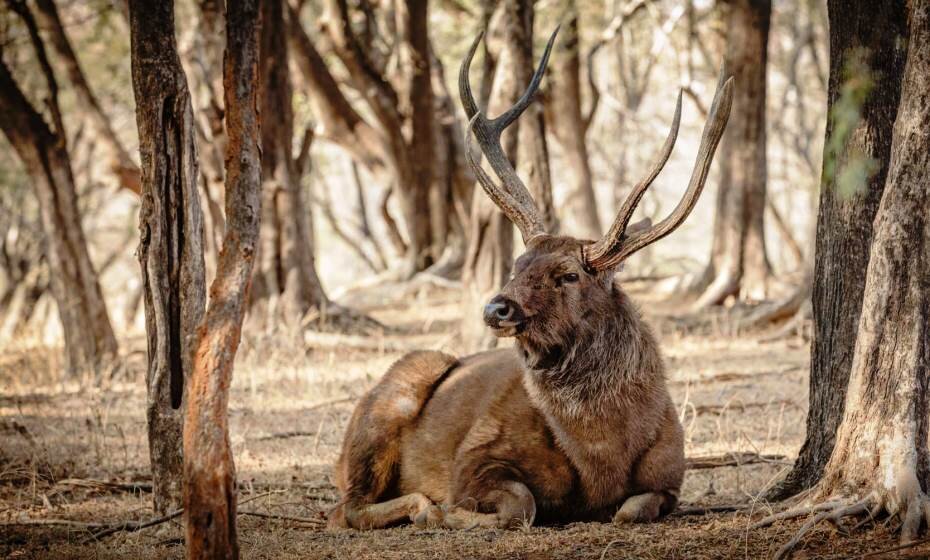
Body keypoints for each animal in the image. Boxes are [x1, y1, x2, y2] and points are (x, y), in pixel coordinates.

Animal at [328, 29, 732, 528]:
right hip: (392, 398)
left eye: (569, 275)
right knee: (345, 508)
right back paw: (422, 508)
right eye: (517, 265)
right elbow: (521, 505)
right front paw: (451, 512)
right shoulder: (476, 454)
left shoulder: (671, 477)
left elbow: (631, 509)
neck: (602, 454)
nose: (496, 307)